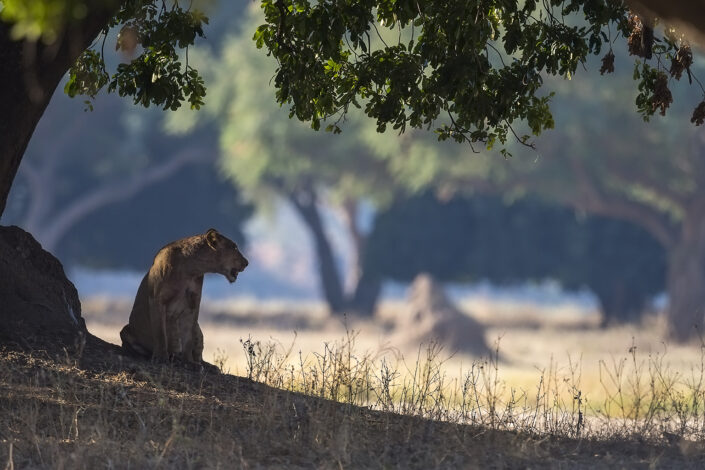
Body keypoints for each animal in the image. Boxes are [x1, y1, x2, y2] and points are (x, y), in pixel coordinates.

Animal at [119, 228, 248, 365]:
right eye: (234, 247)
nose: (247, 263)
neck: (190, 270)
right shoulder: (157, 299)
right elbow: (160, 333)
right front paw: (160, 358)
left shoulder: (192, 303)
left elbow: (188, 337)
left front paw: (189, 362)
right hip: (125, 330)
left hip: (198, 329)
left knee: (198, 352)